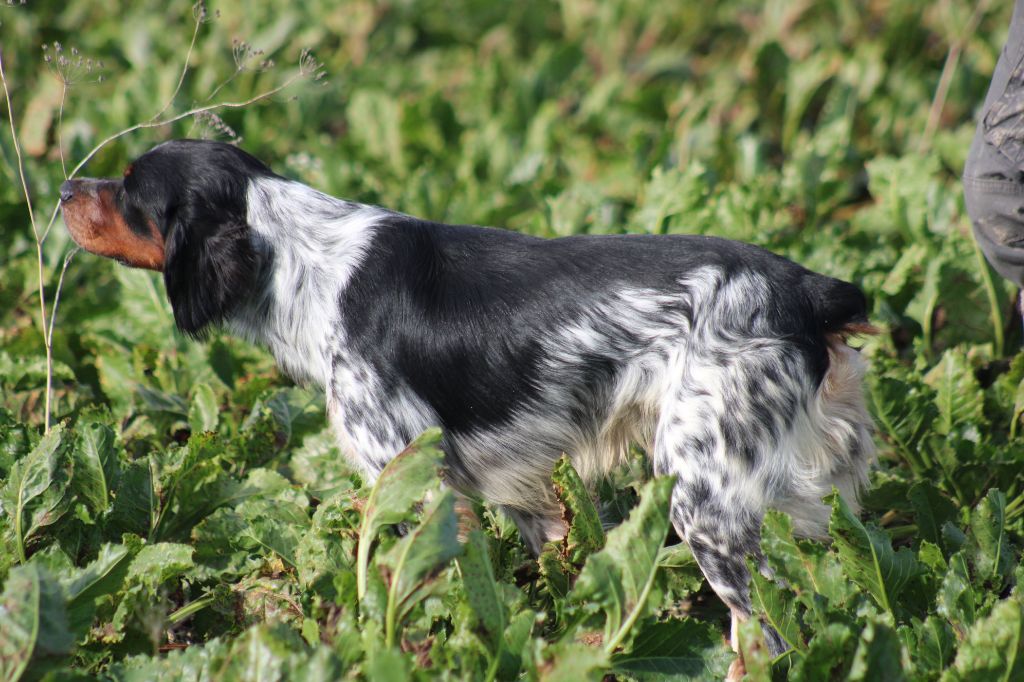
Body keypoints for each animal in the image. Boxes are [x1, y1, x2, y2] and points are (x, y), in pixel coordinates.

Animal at [59, 138, 876, 663]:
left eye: (128, 188)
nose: (65, 188)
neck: (304, 263)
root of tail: (803, 288)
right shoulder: (529, 496)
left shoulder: (418, 482)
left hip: (704, 500)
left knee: (769, 631)